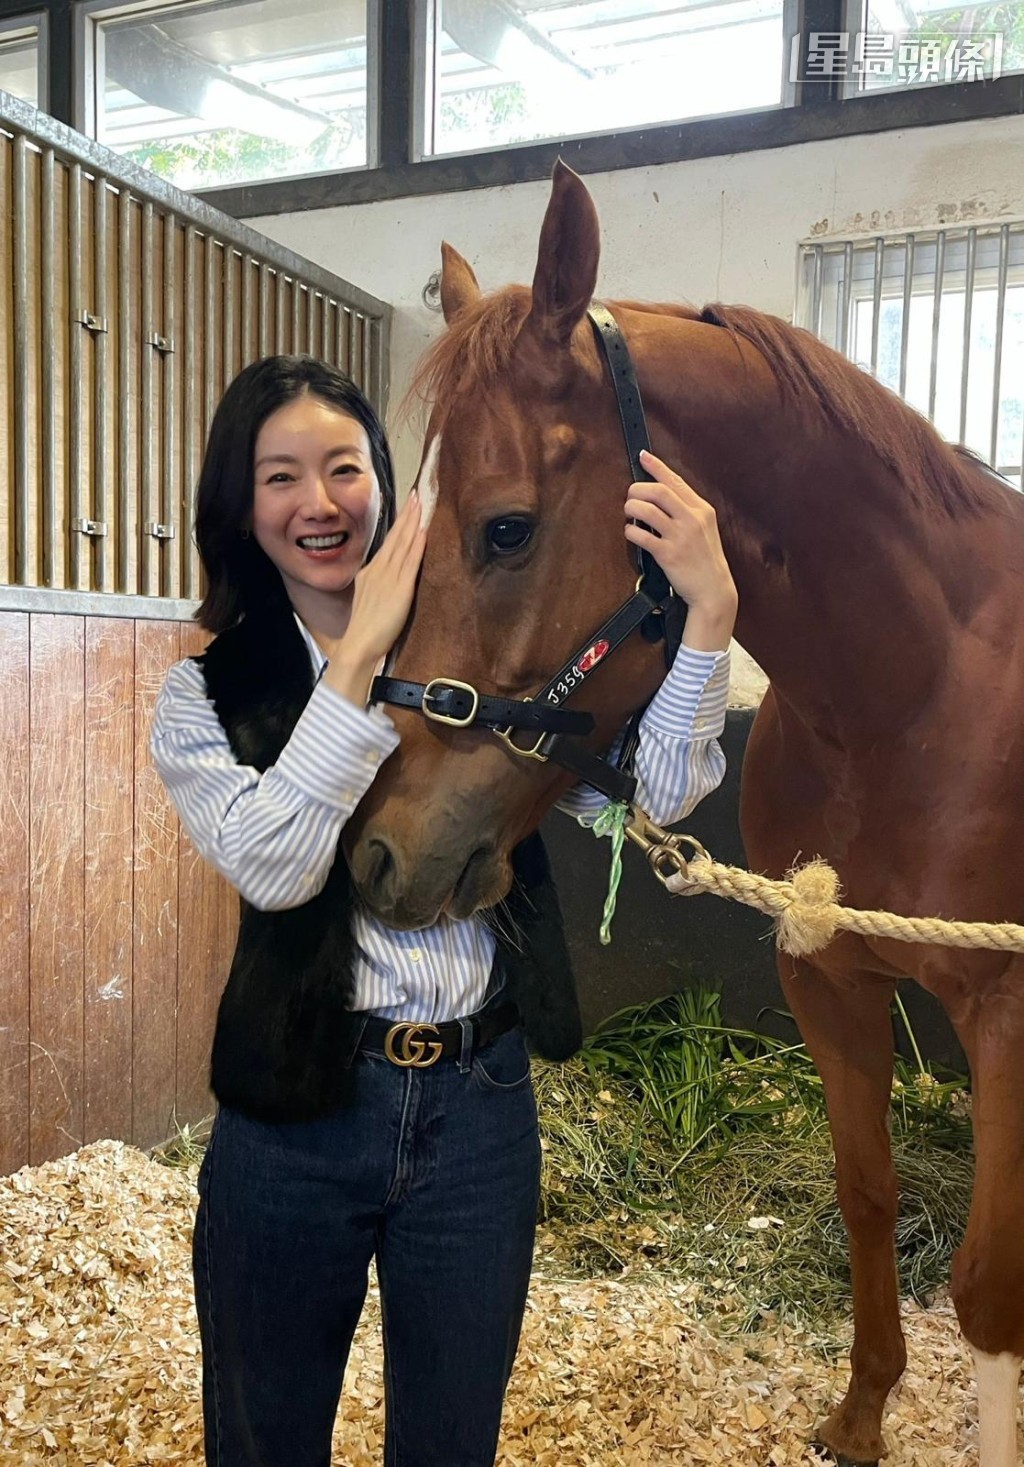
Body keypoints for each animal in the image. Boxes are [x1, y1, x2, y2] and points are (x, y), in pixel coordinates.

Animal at [346, 160, 1024, 1466]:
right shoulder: (827, 974)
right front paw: (858, 1417)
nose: (381, 853)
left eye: (505, 527)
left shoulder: (1010, 1007)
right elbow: (867, 1195)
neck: (916, 693)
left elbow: (987, 1287)